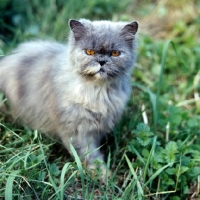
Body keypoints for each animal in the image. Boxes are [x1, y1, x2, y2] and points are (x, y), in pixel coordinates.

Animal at [0, 18, 138, 169]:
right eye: (89, 52)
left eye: (115, 53)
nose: (101, 61)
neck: (97, 92)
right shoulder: (77, 129)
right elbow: (88, 154)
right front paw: (100, 172)